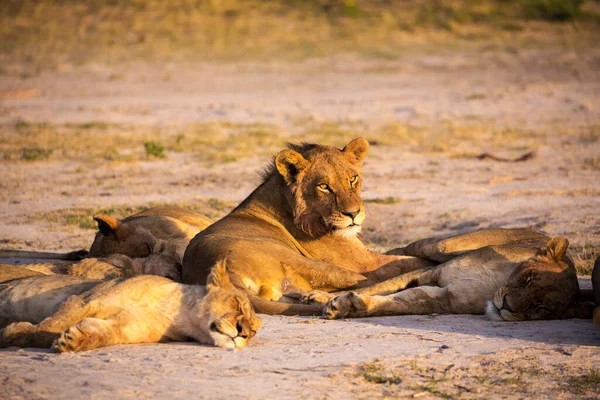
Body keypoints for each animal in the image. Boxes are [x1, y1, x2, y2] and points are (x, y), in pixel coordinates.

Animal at [180, 138, 434, 316]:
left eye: (352, 179)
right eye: (324, 186)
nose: (353, 214)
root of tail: (215, 274)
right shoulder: (363, 261)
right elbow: (403, 263)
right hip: (310, 263)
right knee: (367, 281)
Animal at [322, 234, 592, 322]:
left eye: (540, 308)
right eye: (527, 278)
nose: (506, 306)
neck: (494, 284)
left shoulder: (442, 299)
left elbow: (397, 302)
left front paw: (346, 306)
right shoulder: (433, 273)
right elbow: (380, 285)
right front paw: (323, 298)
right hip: (443, 245)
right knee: (403, 252)